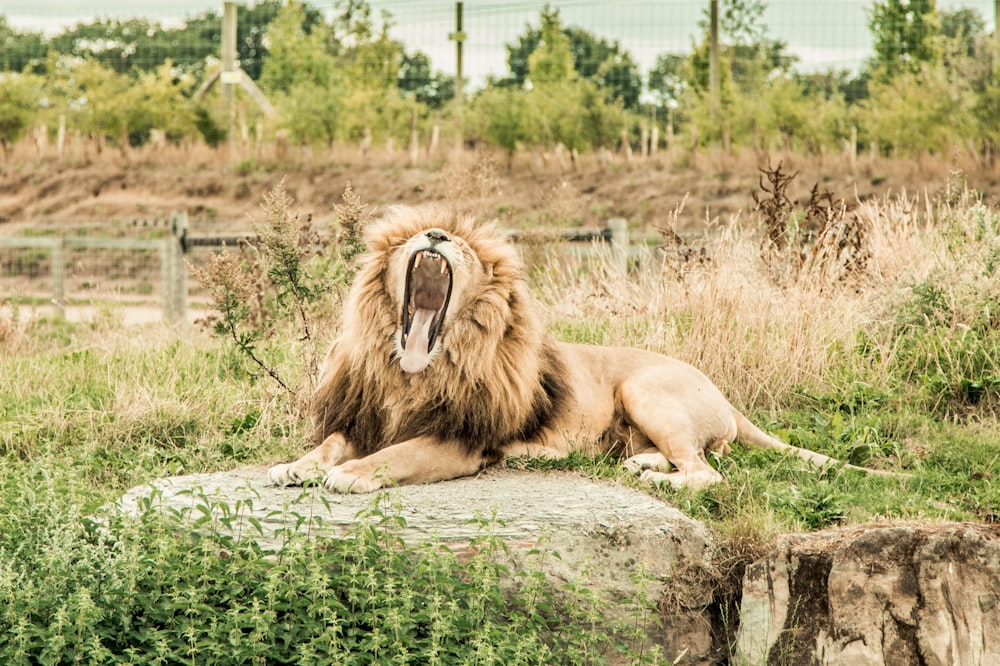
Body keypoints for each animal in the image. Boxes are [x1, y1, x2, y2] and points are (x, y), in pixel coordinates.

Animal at [270, 205, 904, 490]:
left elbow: (395, 456)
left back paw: (654, 478)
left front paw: (351, 477)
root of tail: (724, 396)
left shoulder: (462, 442)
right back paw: (641, 462)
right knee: (702, 457)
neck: (412, 371)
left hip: (647, 389)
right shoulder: (366, 416)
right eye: (410, 240)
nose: (436, 235)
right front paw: (293, 467)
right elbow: (330, 443)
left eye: (464, 251)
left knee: (707, 473)